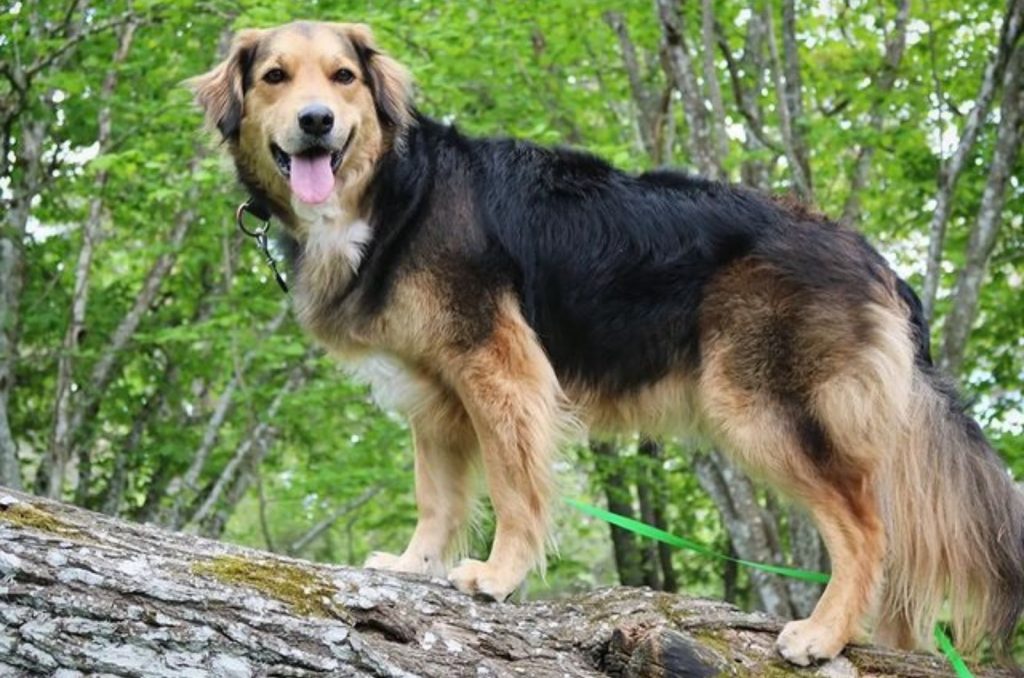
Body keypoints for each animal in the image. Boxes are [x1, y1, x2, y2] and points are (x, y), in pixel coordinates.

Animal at [188, 22, 1019, 667]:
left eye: (343, 78)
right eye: (275, 77)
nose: (317, 121)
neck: (397, 191)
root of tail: (873, 259)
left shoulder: (500, 371)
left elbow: (514, 487)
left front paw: (497, 575)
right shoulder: (436, 392)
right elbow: (438, 496)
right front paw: (417, 566)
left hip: (762, 409)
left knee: (867, 529)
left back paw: (824, 634)